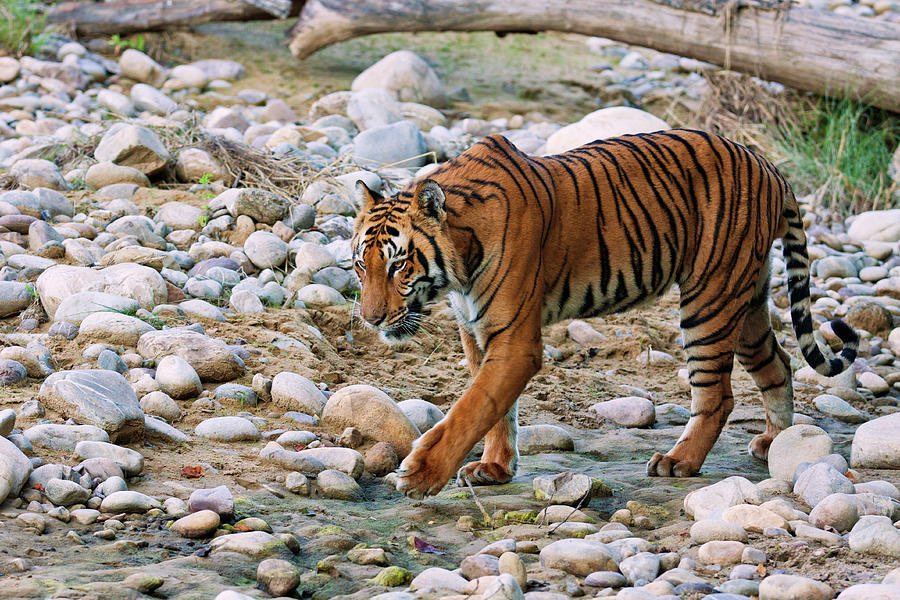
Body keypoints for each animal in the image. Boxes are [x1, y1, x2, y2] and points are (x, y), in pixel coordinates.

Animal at [350, 129, 856, 500]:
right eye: (361, 265)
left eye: (398, 266)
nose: (371, 320)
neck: (460, 258)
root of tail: (769, 166)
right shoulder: (476, 335)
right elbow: (495, 409)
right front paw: (494, 467)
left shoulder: (514, 341)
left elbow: (473, 408)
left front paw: (421, 474)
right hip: (745, 300)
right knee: (778, 364)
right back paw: (775, 443)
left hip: (709, 300)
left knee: (719, 396)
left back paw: (680, 461)